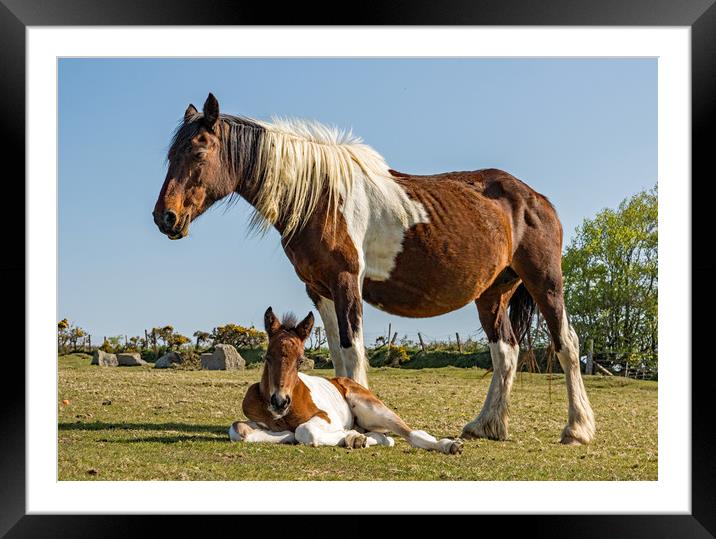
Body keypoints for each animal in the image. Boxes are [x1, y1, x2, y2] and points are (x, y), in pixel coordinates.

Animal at [229, 308, 464, 456]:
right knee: (384, 437)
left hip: (372, 408)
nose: (279, 402)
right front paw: (282, 435)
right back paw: (357, 439)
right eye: (267, 357)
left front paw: (344, 434)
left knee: (410, 434)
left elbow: (304, 431)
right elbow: (238, 429)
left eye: (300, 360)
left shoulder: (326, 417)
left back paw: (450, 445)